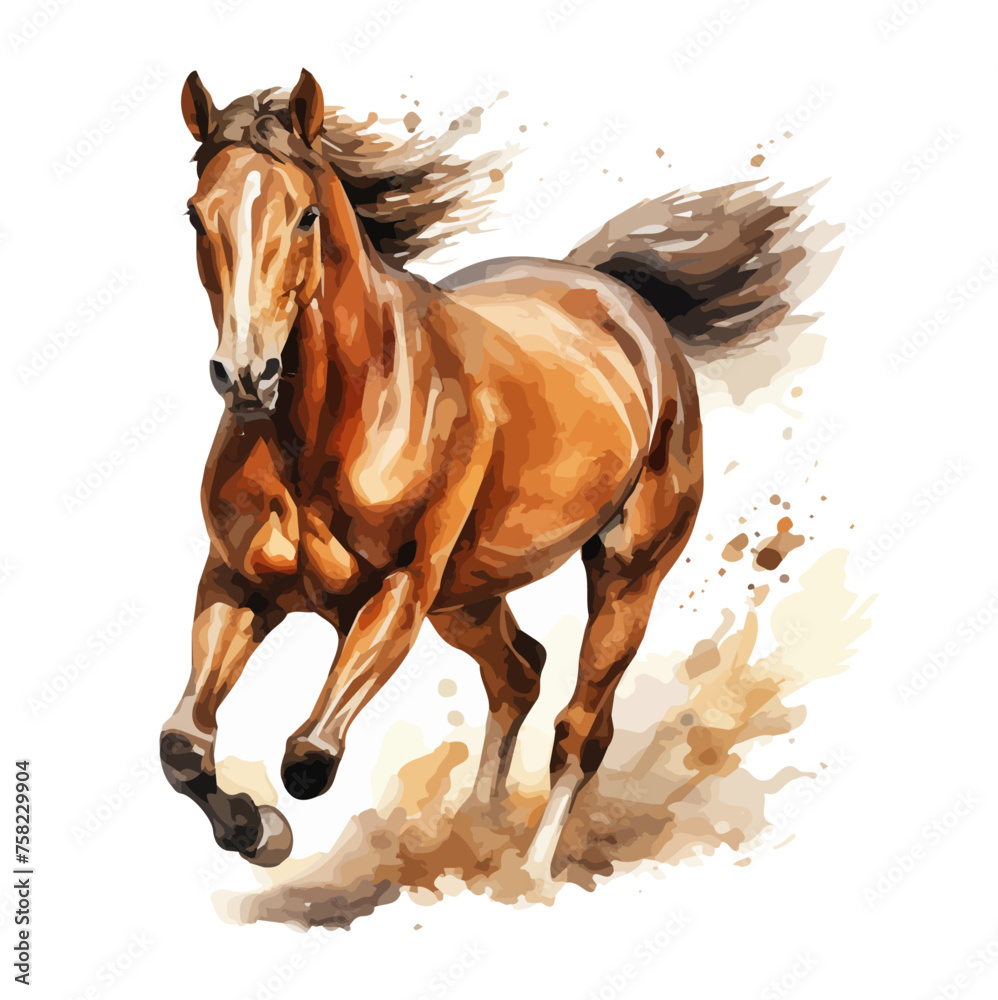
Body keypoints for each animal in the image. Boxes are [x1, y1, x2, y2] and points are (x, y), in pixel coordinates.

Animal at [160, 69, 831, 877]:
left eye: (306, 217)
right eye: (196, 215)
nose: (245, 375)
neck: (331, 424)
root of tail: (628, 307)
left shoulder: (400, 594)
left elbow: (308, 759)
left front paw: (270, 829)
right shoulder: (237, 582)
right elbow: (182, 749)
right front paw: (256, 830)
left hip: (626, 575)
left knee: (579, 727)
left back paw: (530, 875)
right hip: (468, 598)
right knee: (519, 672)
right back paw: (479, 829)